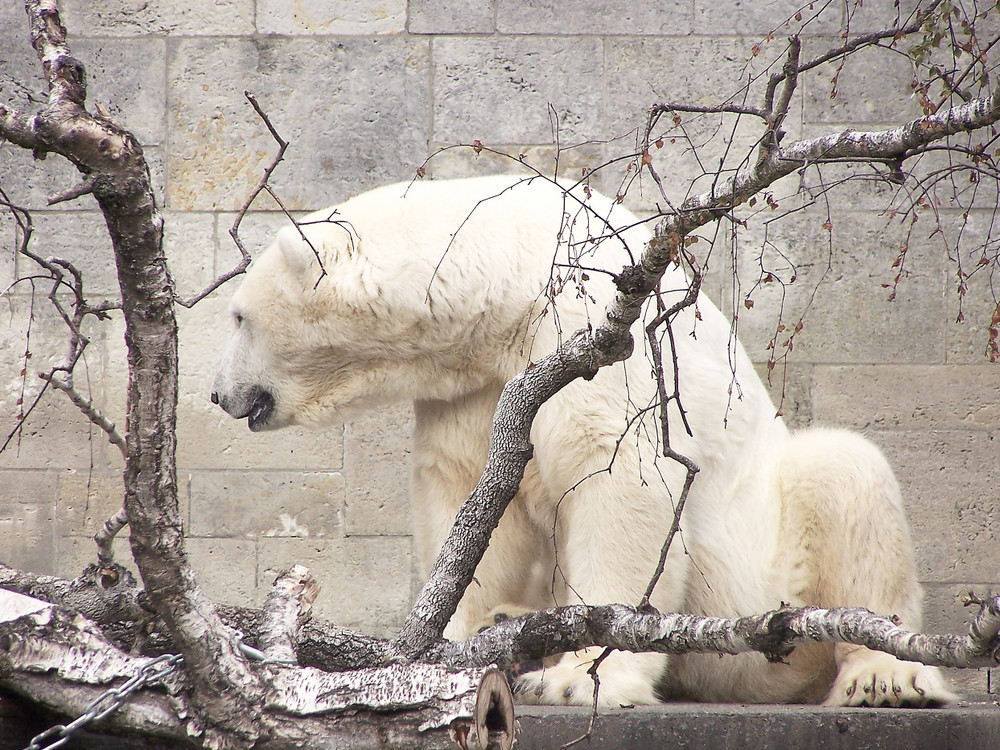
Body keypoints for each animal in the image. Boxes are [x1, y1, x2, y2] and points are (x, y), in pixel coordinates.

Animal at [209, 176, 952, 712]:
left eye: (238, 316)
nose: (218, 395)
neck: (511, 280)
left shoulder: (595, 334)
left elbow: (617, 484)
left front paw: (579, 675)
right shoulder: (475, 385)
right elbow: (473, 497)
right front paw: (457, 641)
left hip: (767, 572)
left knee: (846, 473)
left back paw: (886, 678)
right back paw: (519, 626)